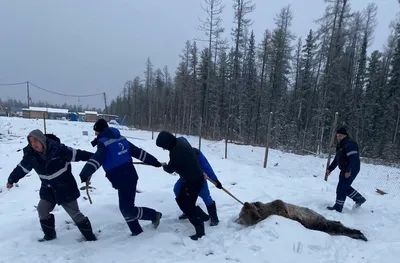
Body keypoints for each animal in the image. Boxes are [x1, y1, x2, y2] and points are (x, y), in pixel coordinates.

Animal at [234, 201, 368, 242]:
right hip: (321, 225)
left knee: (335, 225)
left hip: (319, 221)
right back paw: (359, 234)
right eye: (244, 213)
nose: (246, 203)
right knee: (335, 227)